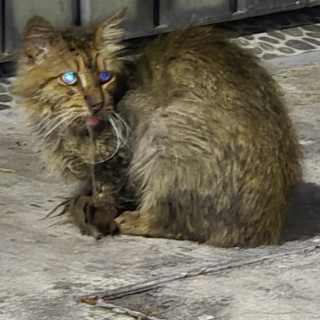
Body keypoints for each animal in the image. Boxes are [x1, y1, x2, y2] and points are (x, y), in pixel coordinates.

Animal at [12, 8, 302, 248]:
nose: (96, 104)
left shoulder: (120, 153)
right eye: (70, 78)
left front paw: (96, 212)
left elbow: (107, 189)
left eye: (104, 77)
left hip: (165, 133)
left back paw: (131, 219)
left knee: (173, 222)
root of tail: (265, 231)